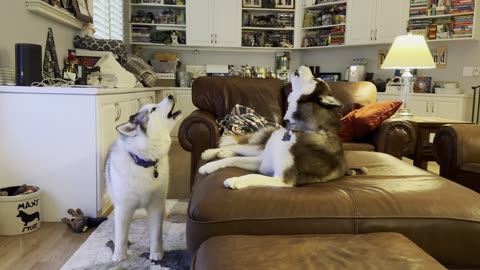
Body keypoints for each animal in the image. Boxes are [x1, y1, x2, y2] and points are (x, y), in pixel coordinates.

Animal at [198, 65, 360, 190]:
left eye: (316, 79)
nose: (306, 65)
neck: (296, 129)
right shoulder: (263, 162)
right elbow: (233, 160)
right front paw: (209, 166)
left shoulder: (281, 179)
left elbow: (252, 175)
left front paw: (236, 180)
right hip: (259, 150)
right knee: (236, 148)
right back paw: (210, 153)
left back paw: (222, 153)